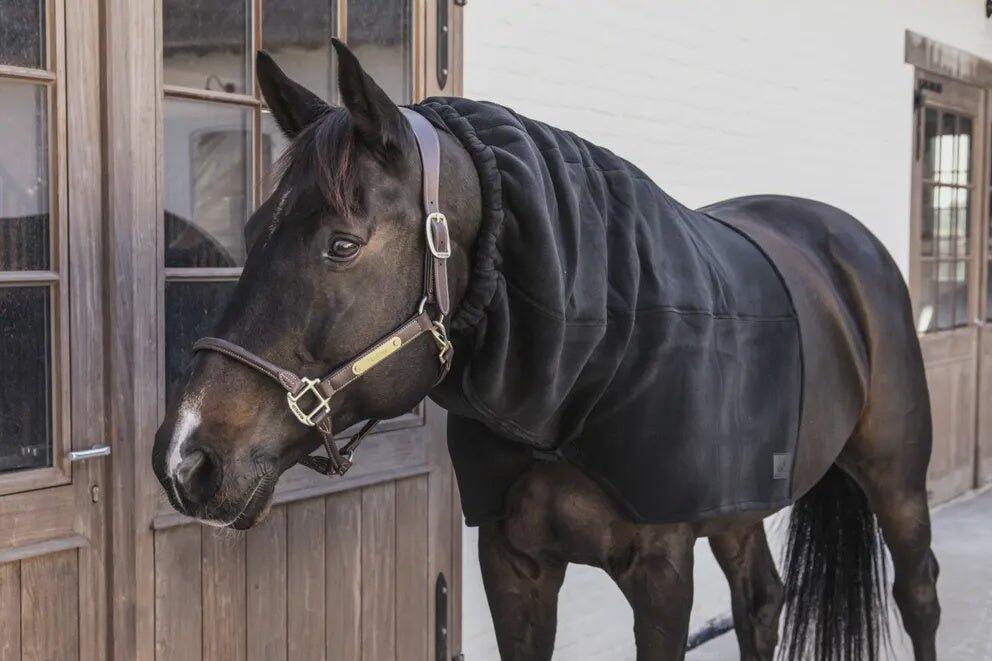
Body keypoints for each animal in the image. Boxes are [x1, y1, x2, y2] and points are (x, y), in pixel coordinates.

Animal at [153, 40, 938, 661]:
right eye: (251, 229)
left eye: (342, 245)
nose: (186, 458)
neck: (590, 369)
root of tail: (846, 241)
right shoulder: (513, 565)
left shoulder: (662, 573)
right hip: (739, 507)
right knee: (762, 603)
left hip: (896, 481)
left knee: (918, 594)